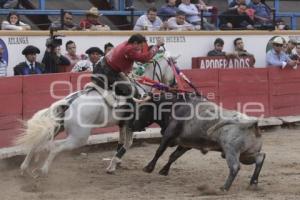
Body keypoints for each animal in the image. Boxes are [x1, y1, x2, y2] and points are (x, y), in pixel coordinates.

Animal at [15, 52, 175, 177]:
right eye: (173, 67)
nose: (173, 85)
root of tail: (69, 102)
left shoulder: (122, 124)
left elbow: (121, 142)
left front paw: (116, 163)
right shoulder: (130, 125)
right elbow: (128, 143)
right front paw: (113, 166)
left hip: (57, 128)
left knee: (38, 141)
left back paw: (24, 169)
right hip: (79, 137)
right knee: (55, 147)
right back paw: (43, 171)